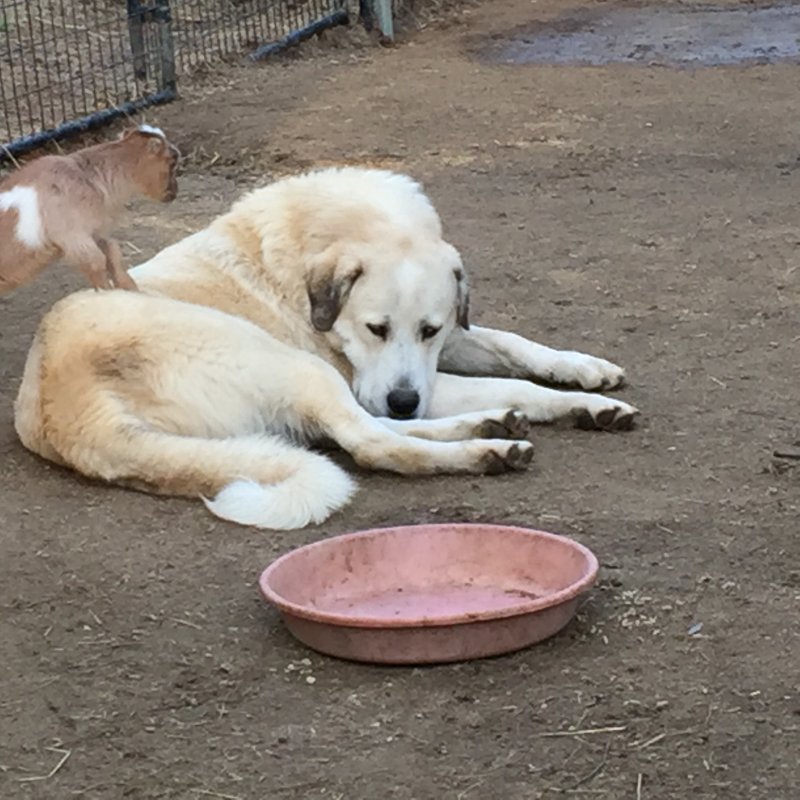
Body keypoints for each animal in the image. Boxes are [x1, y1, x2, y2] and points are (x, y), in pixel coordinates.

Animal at [0, 126, 180, 296]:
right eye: (172, 161)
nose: (174, 192)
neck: (86, 178)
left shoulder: (95, 231)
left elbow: (112, 252)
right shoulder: (74, 237)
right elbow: (96, 262)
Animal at [14, 168, 636, 528]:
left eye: (428, 330)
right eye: (375, 328)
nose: (405, 401)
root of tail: (69, 413)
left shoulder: (440, 351)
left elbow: (512, 345)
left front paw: (590, 380)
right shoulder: (375, 377)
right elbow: (514, 383)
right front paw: (571, 404)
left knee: (364, 433)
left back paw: (489, 426)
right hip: (295, 366)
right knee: (373, 443)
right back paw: (487, 448)